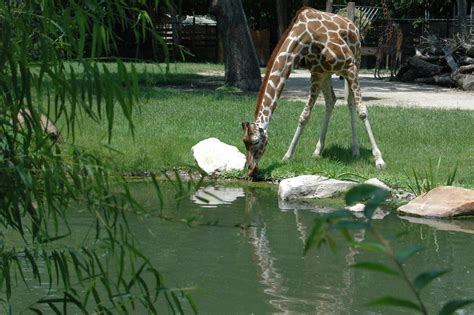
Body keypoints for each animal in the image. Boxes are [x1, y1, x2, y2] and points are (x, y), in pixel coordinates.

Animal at [241, 6, 386, 178]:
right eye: (244, 142)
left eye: (256, 141)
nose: (250, 169)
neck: (306, 37)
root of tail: (352, 25)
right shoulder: (316, 73)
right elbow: (305, 115)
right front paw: (287, 155)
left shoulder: (349, 66)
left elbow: (362, 111)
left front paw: (379, 160)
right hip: (327, 73)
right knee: (331, 100)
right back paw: (318, 150)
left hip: (355, 62)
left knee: (351, 103)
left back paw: (356, 150)